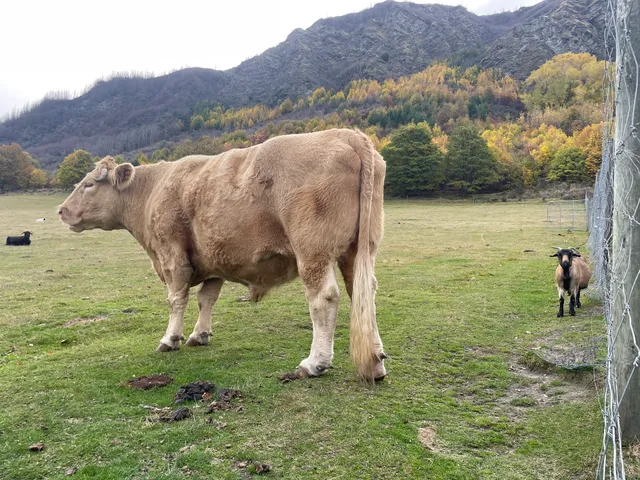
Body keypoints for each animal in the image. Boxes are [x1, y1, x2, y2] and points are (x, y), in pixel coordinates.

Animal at [58, 129, 387, 381]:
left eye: (88, 184)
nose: (61, 210)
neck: (152, 190)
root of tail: (346, 134)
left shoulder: (172, 255)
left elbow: (177, 299)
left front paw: (170, 339)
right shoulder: (212, 258)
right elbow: (207, 298)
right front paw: (199, 335)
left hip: (313, 250)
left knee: (324, 298)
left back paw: (315, 362)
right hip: (359, 249)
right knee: (363, 292)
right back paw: (375, 362)